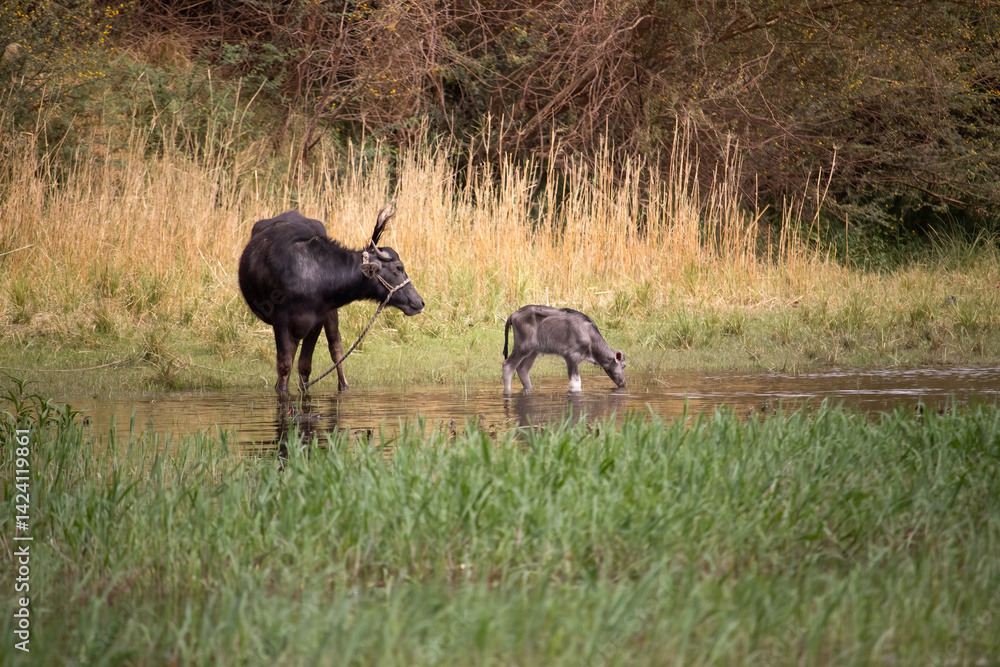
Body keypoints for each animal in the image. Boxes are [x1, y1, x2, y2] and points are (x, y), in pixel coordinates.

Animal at [238, 204, 424, 394]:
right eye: (399, 267)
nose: (420, 302)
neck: (310, 274)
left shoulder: (317, 321)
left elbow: (304, 366)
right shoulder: (280, 321)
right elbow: (284, 365)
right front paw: (281, 390)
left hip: (330, 314)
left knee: (335, 347)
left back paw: (345, 387)